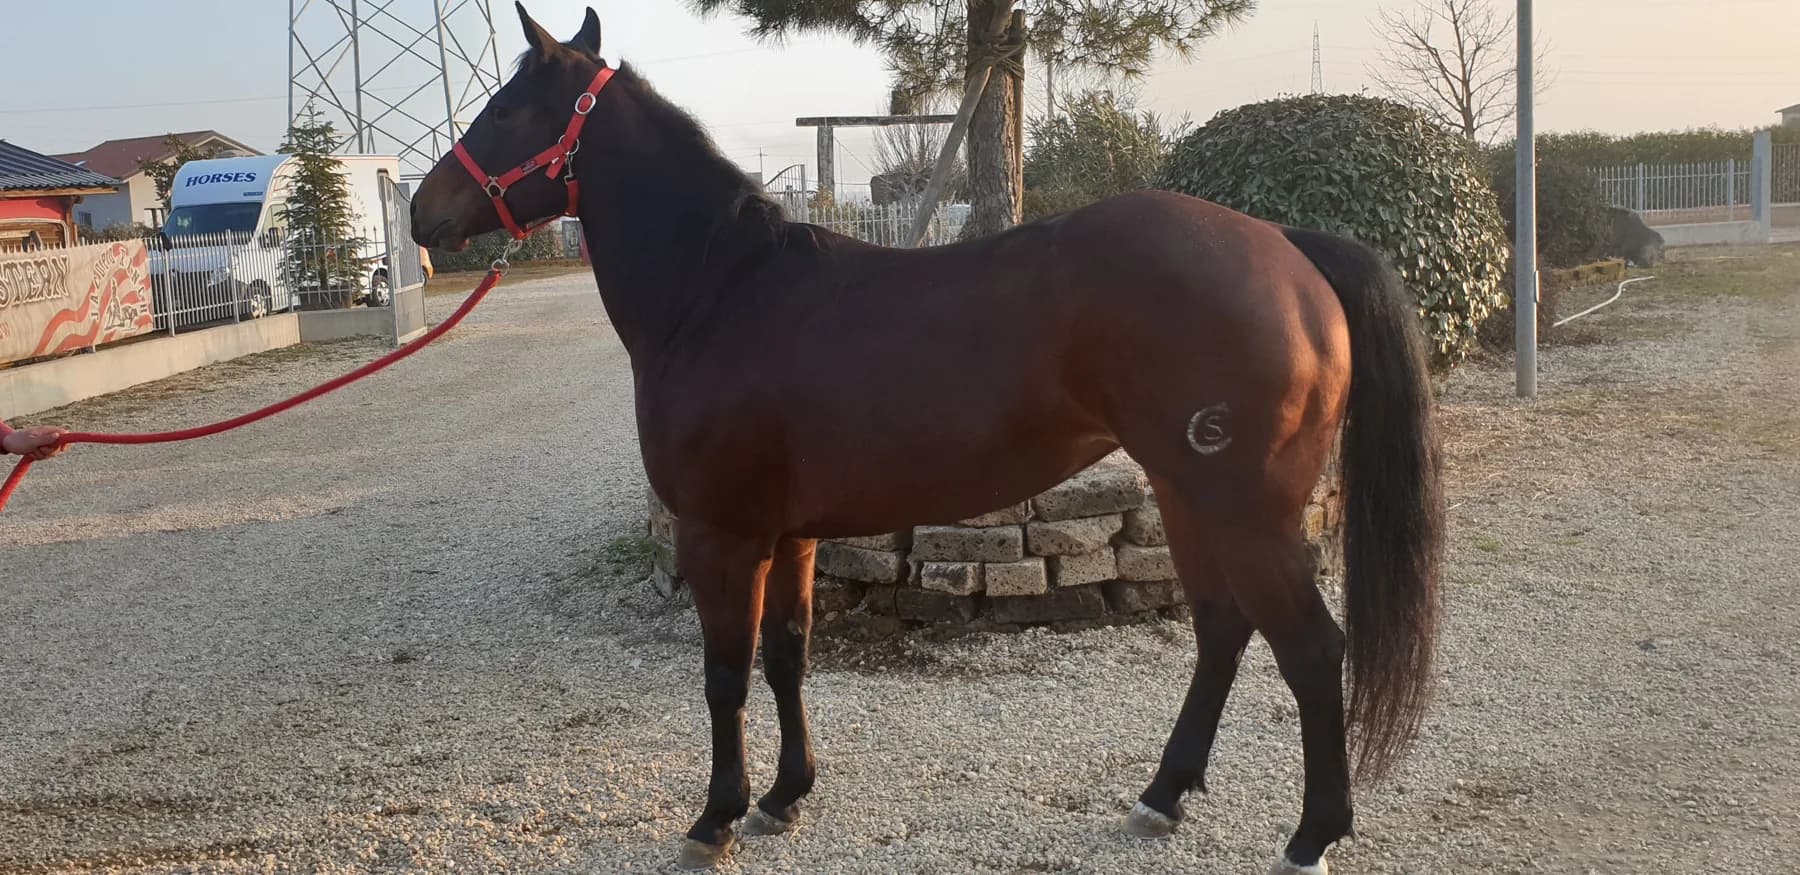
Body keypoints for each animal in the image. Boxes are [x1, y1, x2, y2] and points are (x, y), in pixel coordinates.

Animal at [411, 6, 1443, 872]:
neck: (722, 292)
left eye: (505, 111)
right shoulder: (792, 534)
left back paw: (1311, 835)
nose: (423, 212)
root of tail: (1286, 243)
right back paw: (1162, 794)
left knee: (1310, 647)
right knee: (1225, 628)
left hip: (1246, 509)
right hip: (1188, 495)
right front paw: (786, 796)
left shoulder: (722, 534)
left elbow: (724, 675)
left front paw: (716, 815)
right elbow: (787, 654)